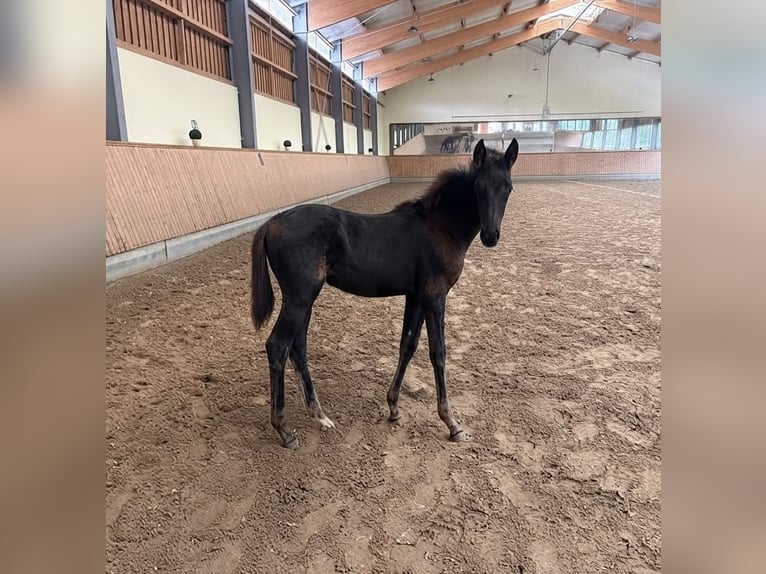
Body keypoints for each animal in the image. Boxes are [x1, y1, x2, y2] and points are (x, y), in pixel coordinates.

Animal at [250, 138, 519, 449]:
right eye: (478, 187)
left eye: (508, 188)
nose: (491, 236)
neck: (440, 227)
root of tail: (272, 222)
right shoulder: (435, 297)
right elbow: (438, 353)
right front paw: (451, 423)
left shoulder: (416, 297)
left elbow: (407, 346)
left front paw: (393, 408)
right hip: (300, 297)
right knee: (278, 346)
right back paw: (285, 431)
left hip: (305, 299)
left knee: (298, 347)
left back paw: (320, 416)